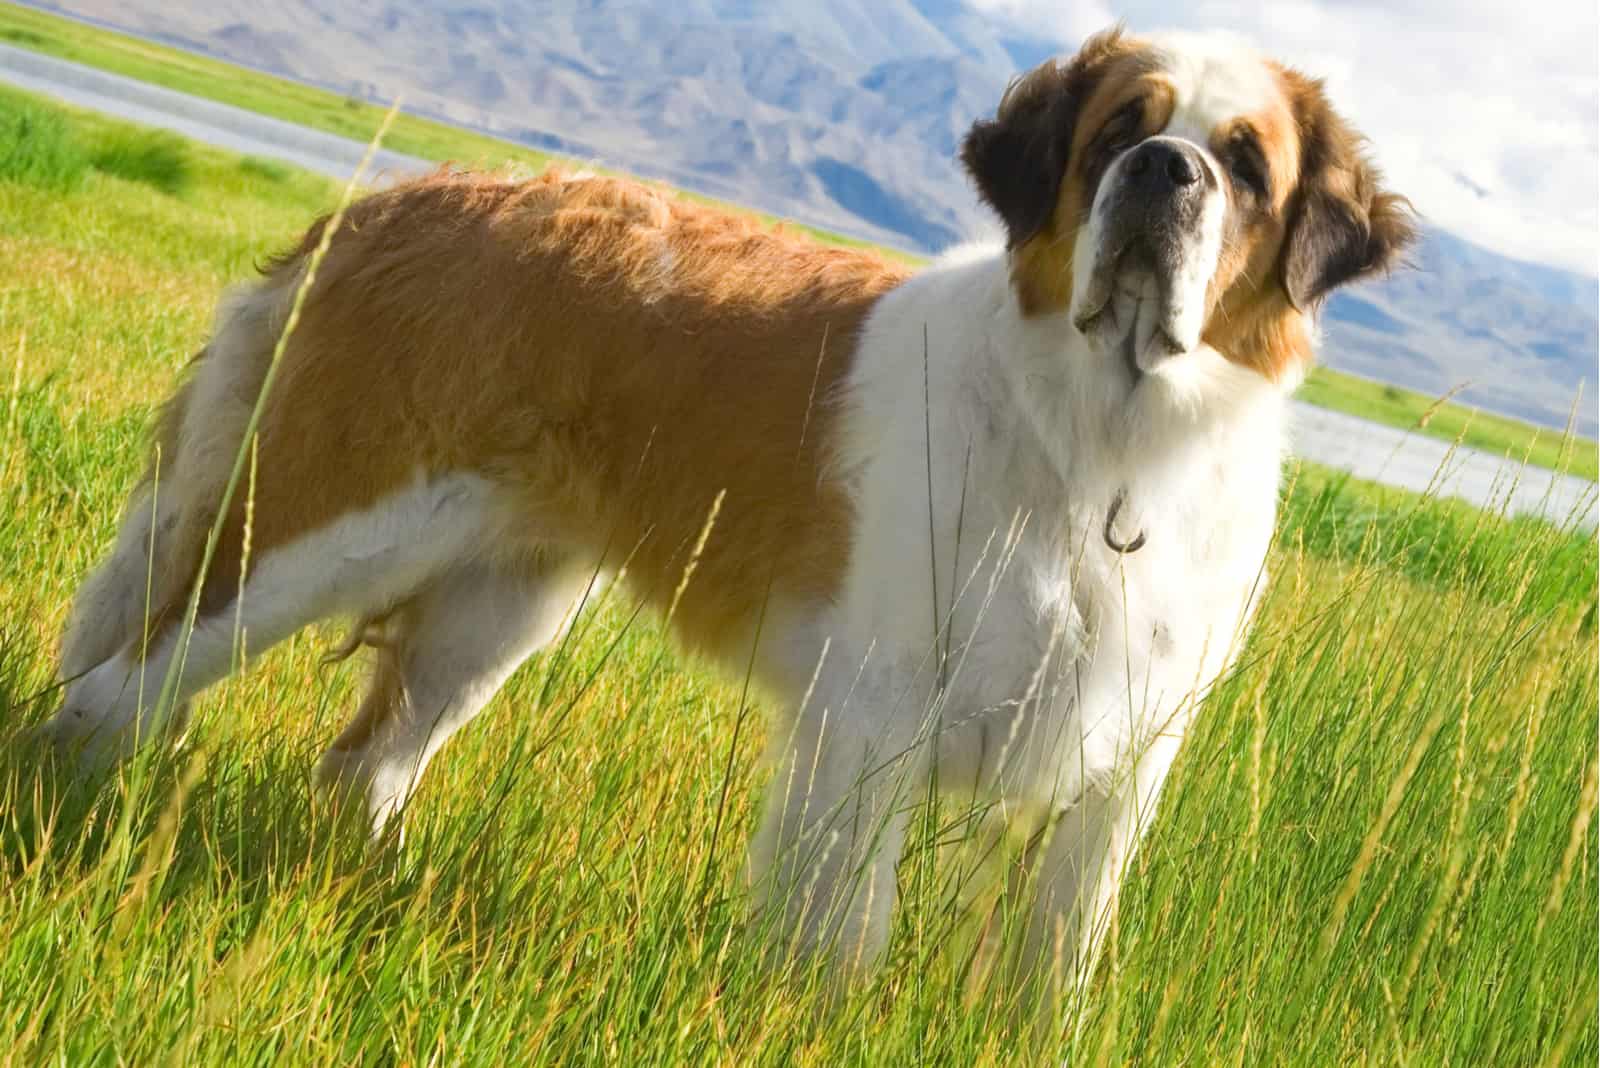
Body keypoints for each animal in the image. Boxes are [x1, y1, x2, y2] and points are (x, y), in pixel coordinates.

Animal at [43, 29, 1408, 1004]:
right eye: (1118, 131)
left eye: (1244, 162)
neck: (1104, 442)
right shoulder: (873, 715)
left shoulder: (1126, 755)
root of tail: (402, 194)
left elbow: (1057, 954)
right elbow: (847, 922)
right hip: (324, 535)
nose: (1163, 170)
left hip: (496, 607)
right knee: (125, 681)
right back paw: (73, 818)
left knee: (368, 759)